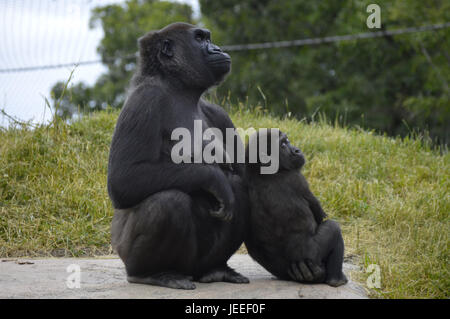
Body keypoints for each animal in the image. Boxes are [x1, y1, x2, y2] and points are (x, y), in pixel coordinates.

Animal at [108, 23, 250, 290]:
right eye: (200, 38)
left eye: (208, 38)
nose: (217, 48)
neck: (178, 88)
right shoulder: (145, 99)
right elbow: (124, 179)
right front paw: (215, 179)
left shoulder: (220, 114)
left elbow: (245, 175)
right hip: (129, 254)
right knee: (168, 202)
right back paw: (150, 273)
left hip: (197, 266)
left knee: (241, 188)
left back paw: (216, 269)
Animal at [246, 129, 348, 288]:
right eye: (282, 145)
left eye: (287, 141)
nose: (296, 150)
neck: (260, 171)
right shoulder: (297, 179)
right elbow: (323, 217)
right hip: (313, 257)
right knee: (333, 227)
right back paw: (336, 280)